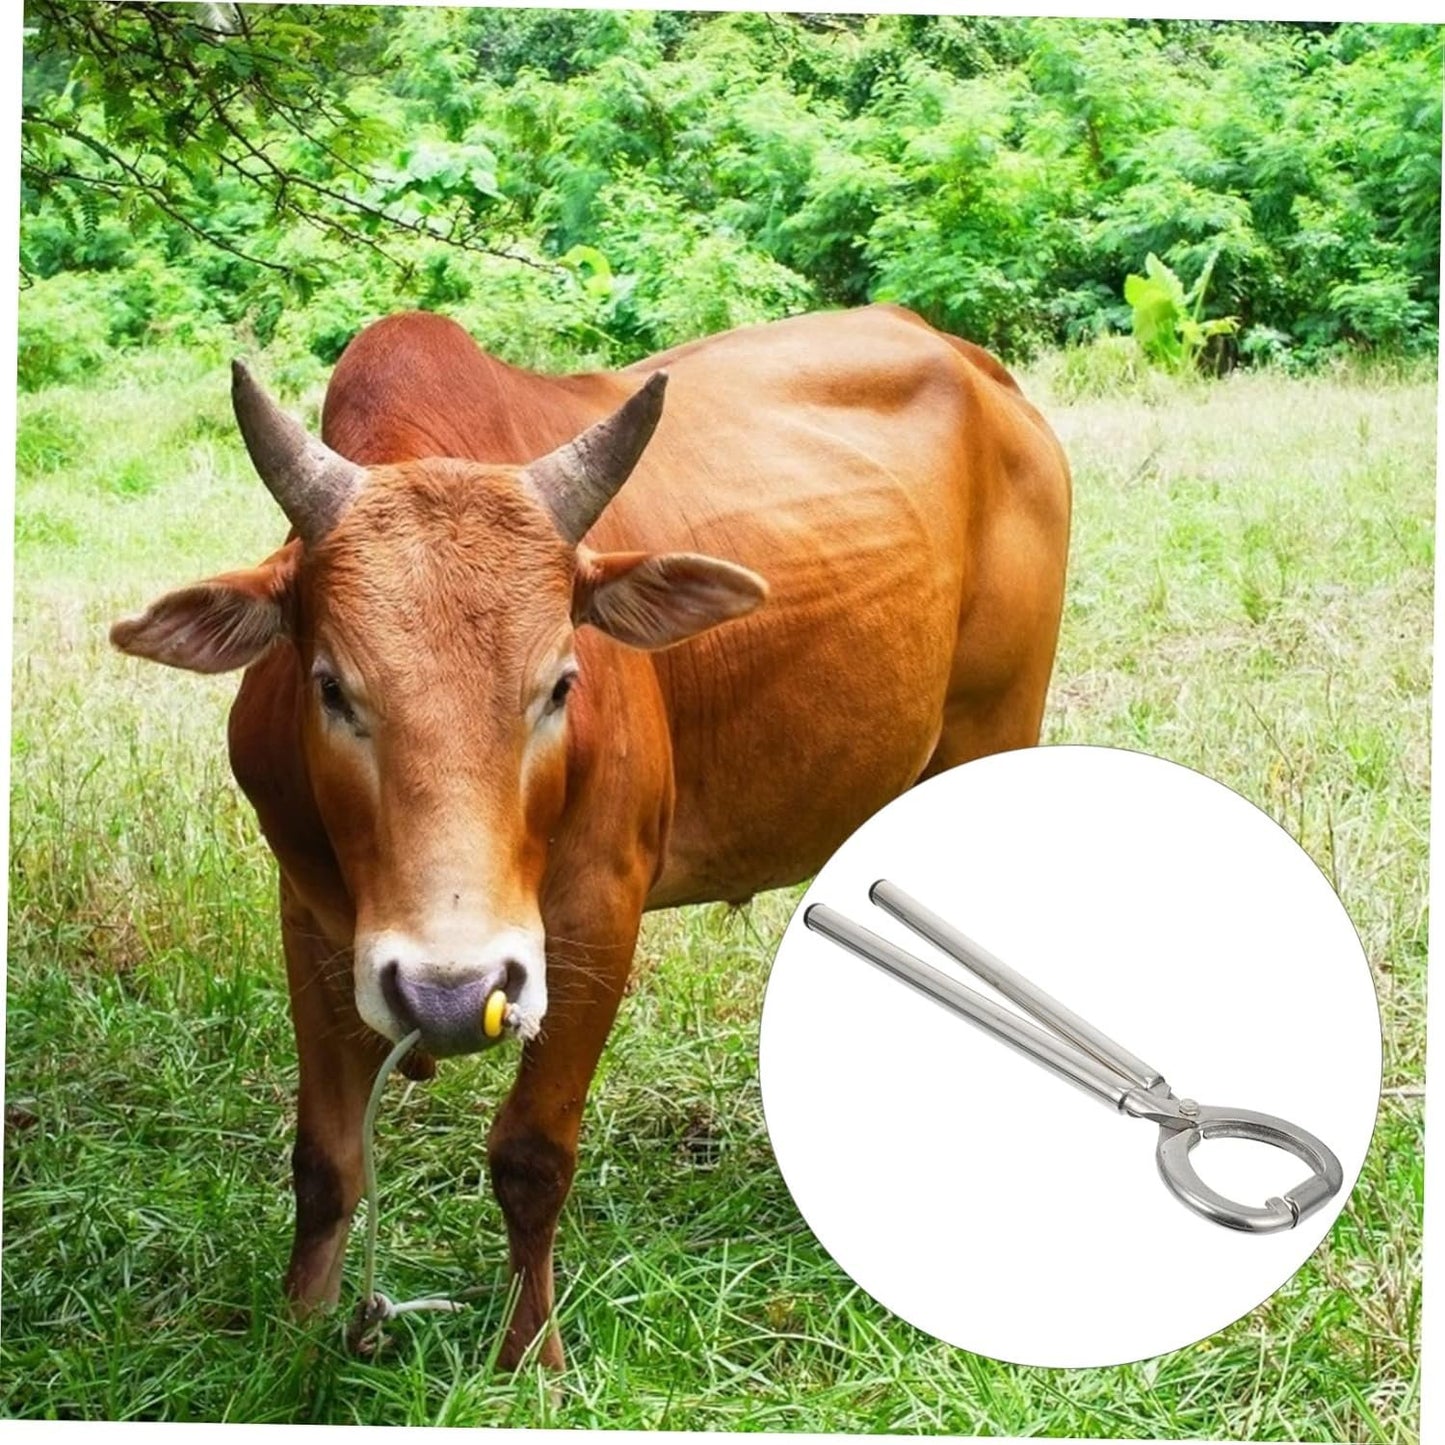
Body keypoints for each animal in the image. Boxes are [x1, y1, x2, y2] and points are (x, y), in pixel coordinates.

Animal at [110, 303, 1071, 1369]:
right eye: (330, 687)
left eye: (560, 684)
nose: (451, 995)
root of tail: (979, 368)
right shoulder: (309, 914)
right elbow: (325, 1160)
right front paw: (294, 1336)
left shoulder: (596, 913)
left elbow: (530, 1155)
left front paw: (532, 1358)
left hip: (993, 733)